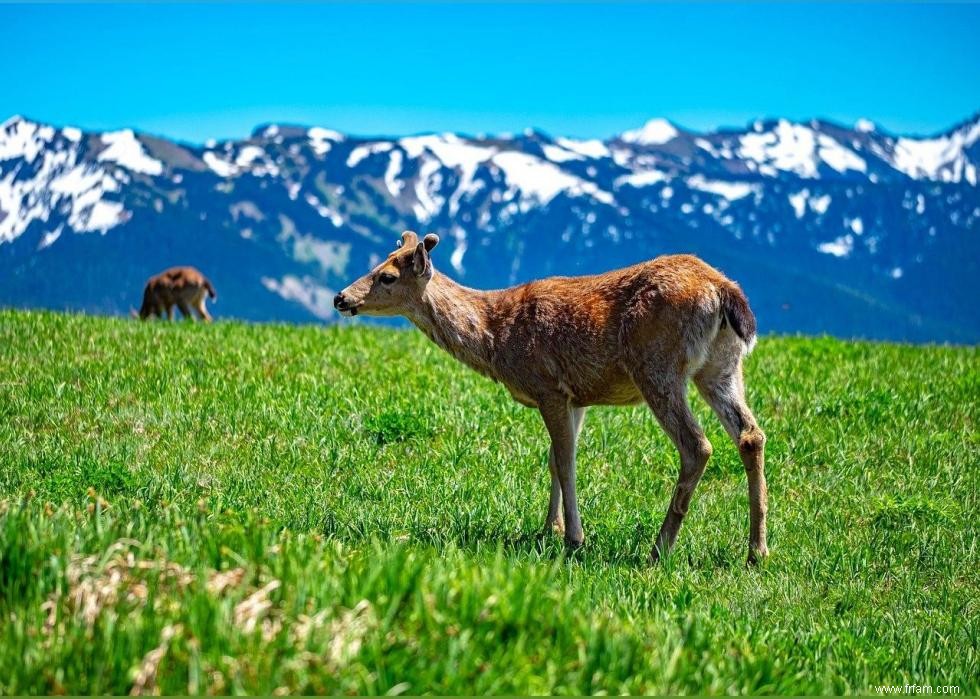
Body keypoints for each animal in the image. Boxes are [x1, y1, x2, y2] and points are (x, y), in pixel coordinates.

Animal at [336, 232, 772, 568]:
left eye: (387, 275)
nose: (341, 297)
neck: (495, 338)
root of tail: (725, 293)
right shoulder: (576, 396)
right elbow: (555, 459)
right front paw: (548, 529)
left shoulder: (547, 385)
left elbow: (564, 461)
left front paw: (574, 539)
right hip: (720, 367)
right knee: (751, 434)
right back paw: (756, 551)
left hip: (658, 365)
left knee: (697, 445)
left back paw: (658, 549)